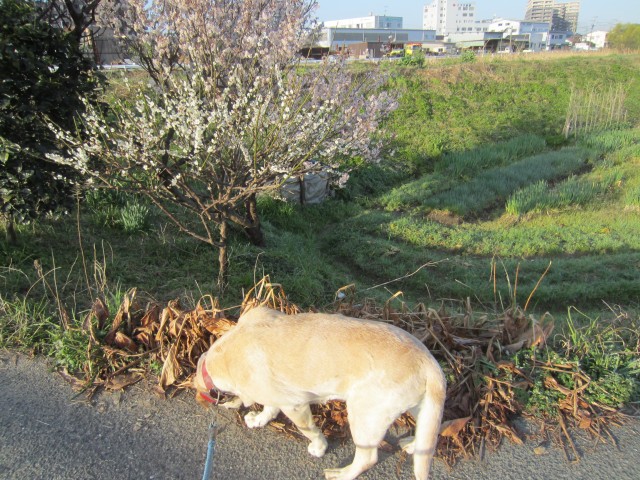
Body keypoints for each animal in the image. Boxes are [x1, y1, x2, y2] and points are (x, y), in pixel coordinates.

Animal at [194, 308, 444, 480]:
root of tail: (429, 362)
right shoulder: (276, 395)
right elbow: (270, 407)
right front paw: (259, 419)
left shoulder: (294, 404)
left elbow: (308, 429)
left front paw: (319, 447)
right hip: (421, 404)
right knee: (429, 431)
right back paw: (413, 443)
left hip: (365, 416)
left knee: (367, 458)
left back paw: (342, 474)